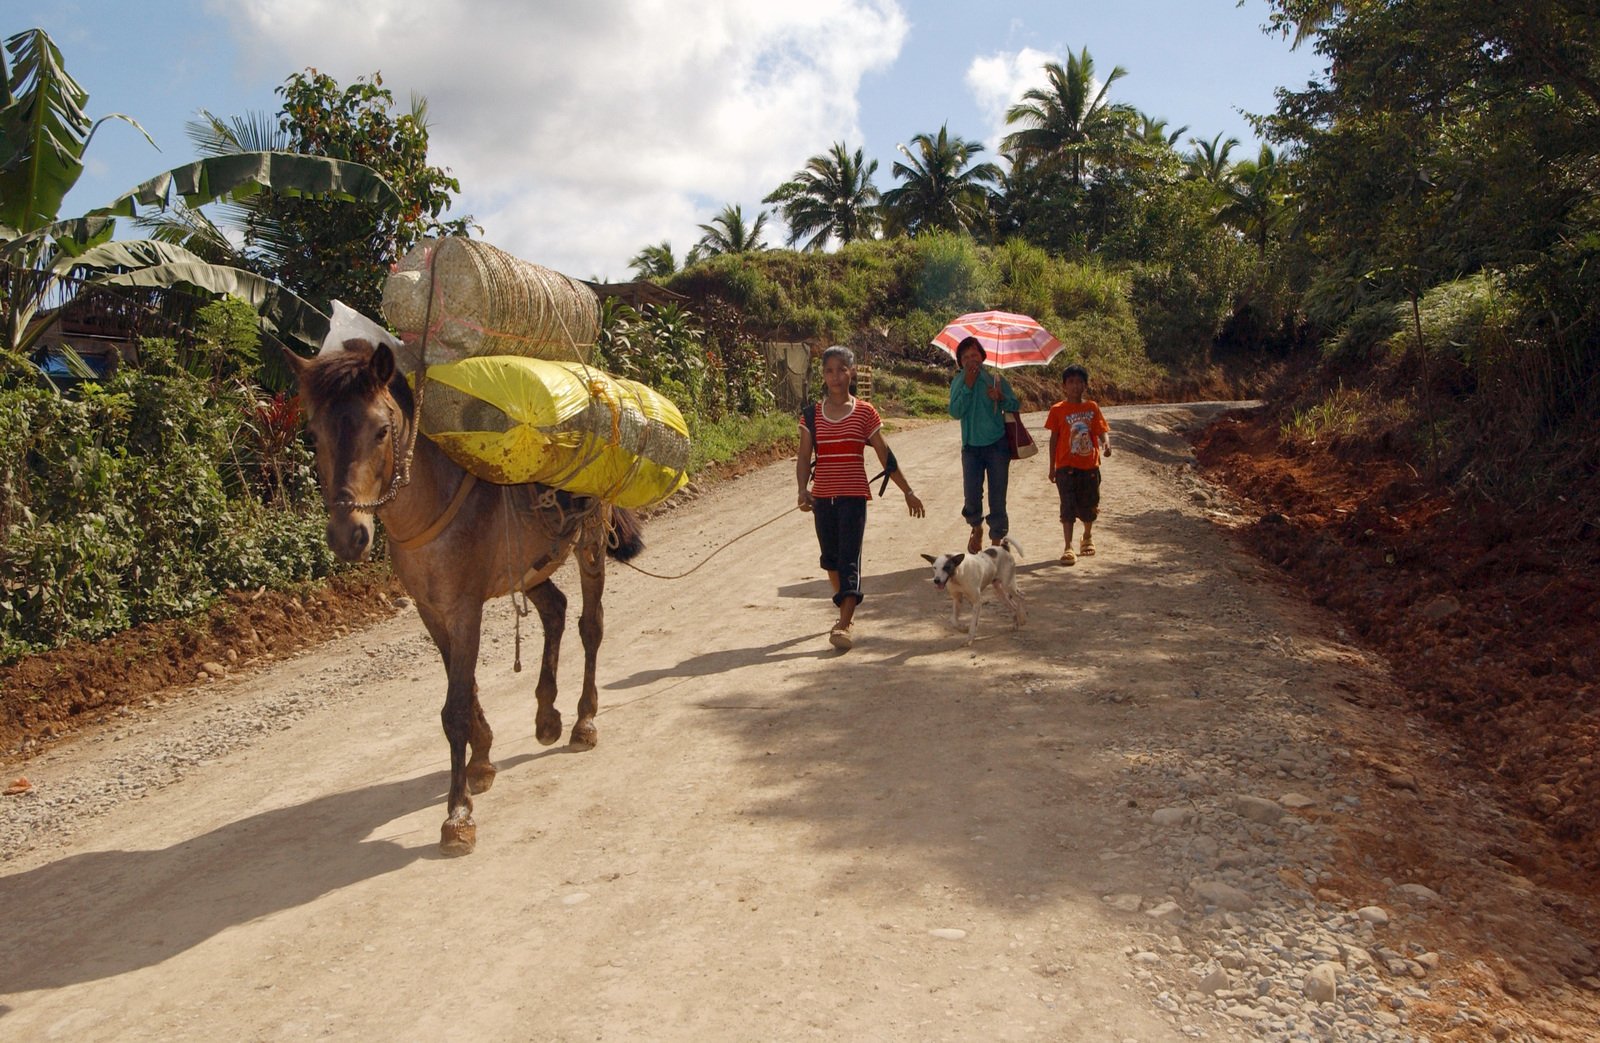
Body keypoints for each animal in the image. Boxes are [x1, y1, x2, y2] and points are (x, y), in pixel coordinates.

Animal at [284, 340, 640, 857]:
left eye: (380, 430)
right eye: (314, 434)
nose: (348, 536)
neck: (429, 505)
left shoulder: (465, 609)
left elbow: (453, 708)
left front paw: (458, 815)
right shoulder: (432, 613)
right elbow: (464, 687)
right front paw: (482, 761)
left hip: (590, 543)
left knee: (590, 626)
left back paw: (582, 722)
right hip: (530, 564)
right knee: (554, 611)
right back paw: (546, 717)